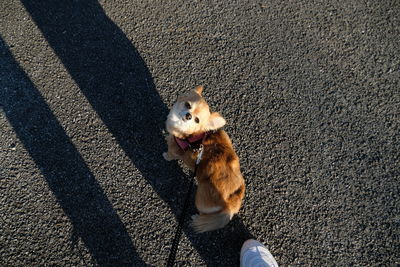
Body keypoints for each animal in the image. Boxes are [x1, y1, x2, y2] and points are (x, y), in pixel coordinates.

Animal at [162, 86, 244, 232]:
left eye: (197, 120)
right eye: (187, 105)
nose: (188, 115)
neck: (193, 135)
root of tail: (234, 201)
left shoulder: (175, 149)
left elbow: (170, 153)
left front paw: (165, 156)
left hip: (200, 199)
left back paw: (195, 217)